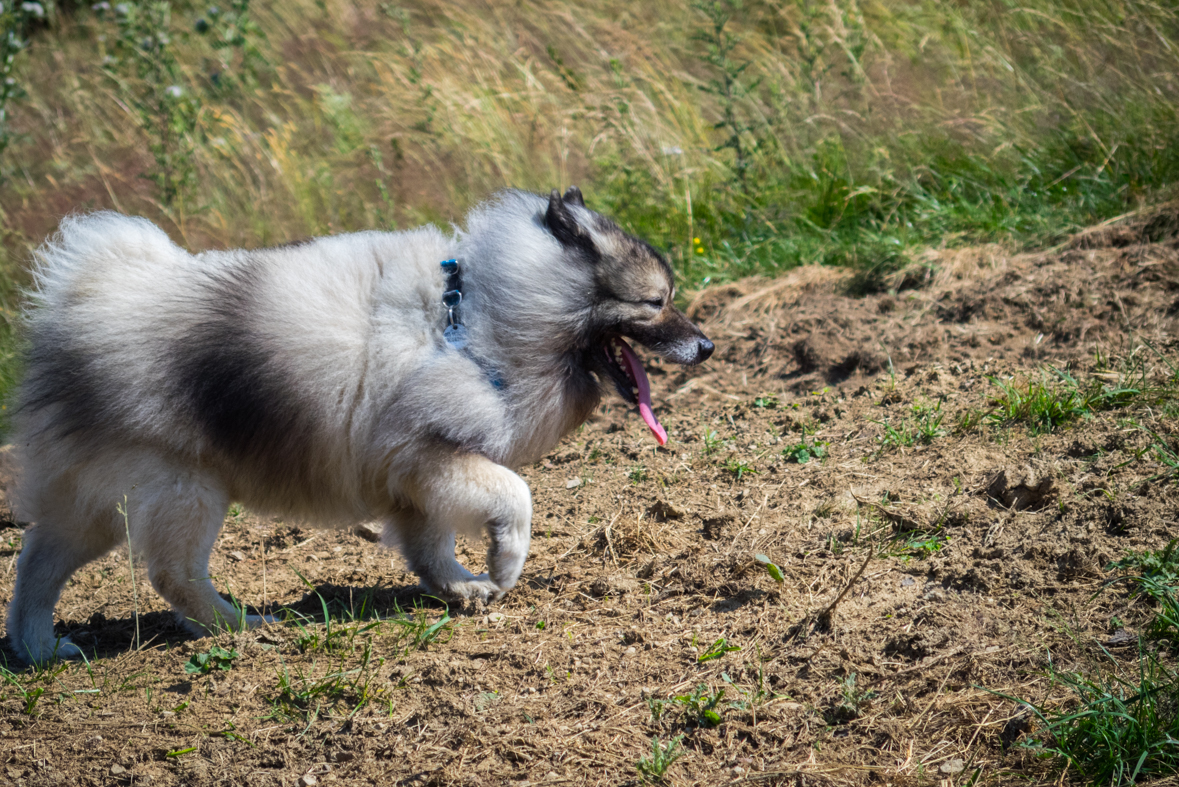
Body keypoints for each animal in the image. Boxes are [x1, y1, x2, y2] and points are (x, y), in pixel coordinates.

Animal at [4, 187, 712, 659]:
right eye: (655, 303)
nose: (706, 347)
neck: (478, 319)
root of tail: (85, 297)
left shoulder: (415, 478)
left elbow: (431, 546)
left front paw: (461, 587)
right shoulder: (431, 455)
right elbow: (516, 496)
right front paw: (504, 566)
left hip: (96, 504)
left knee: (36, 564)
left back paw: (40, 650)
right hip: (185, 489)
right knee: (172, 574)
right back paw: (239, 626)